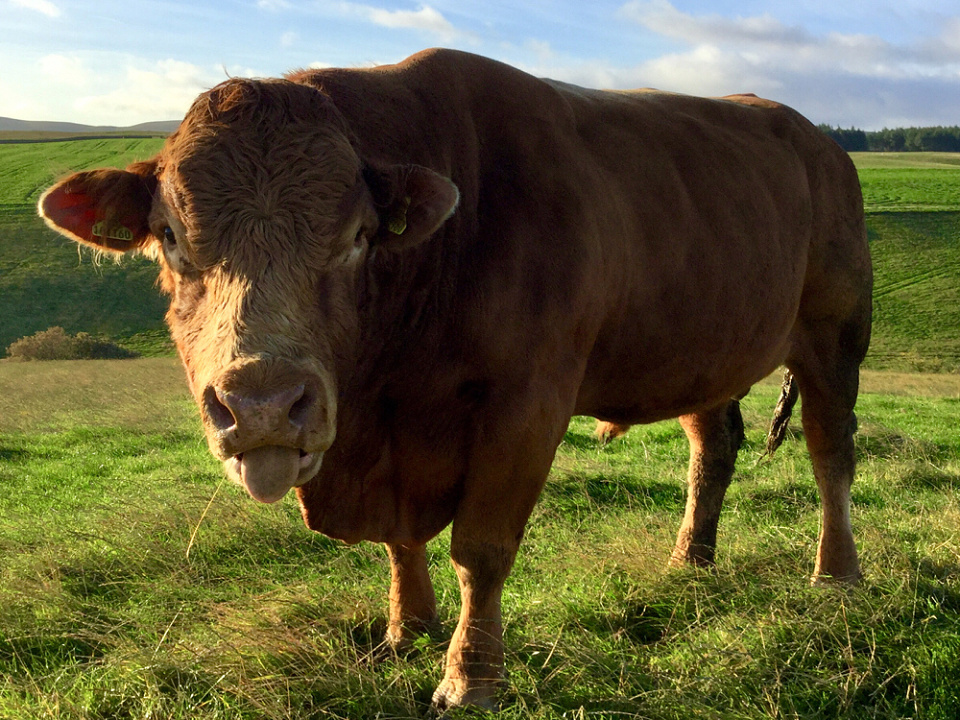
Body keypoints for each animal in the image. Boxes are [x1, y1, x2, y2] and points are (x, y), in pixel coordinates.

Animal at [41, 49, 872, 708]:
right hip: (700, 353)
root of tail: (816, 140)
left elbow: (482, 548)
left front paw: (471, 677)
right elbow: (401, 541)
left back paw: (836, 574)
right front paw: (405, 631)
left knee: (830, 453)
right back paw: (689, 563)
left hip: (835, 336)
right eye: (170, 239)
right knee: (714, 447)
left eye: (357, 238)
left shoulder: (526, 406)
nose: (265, 406)